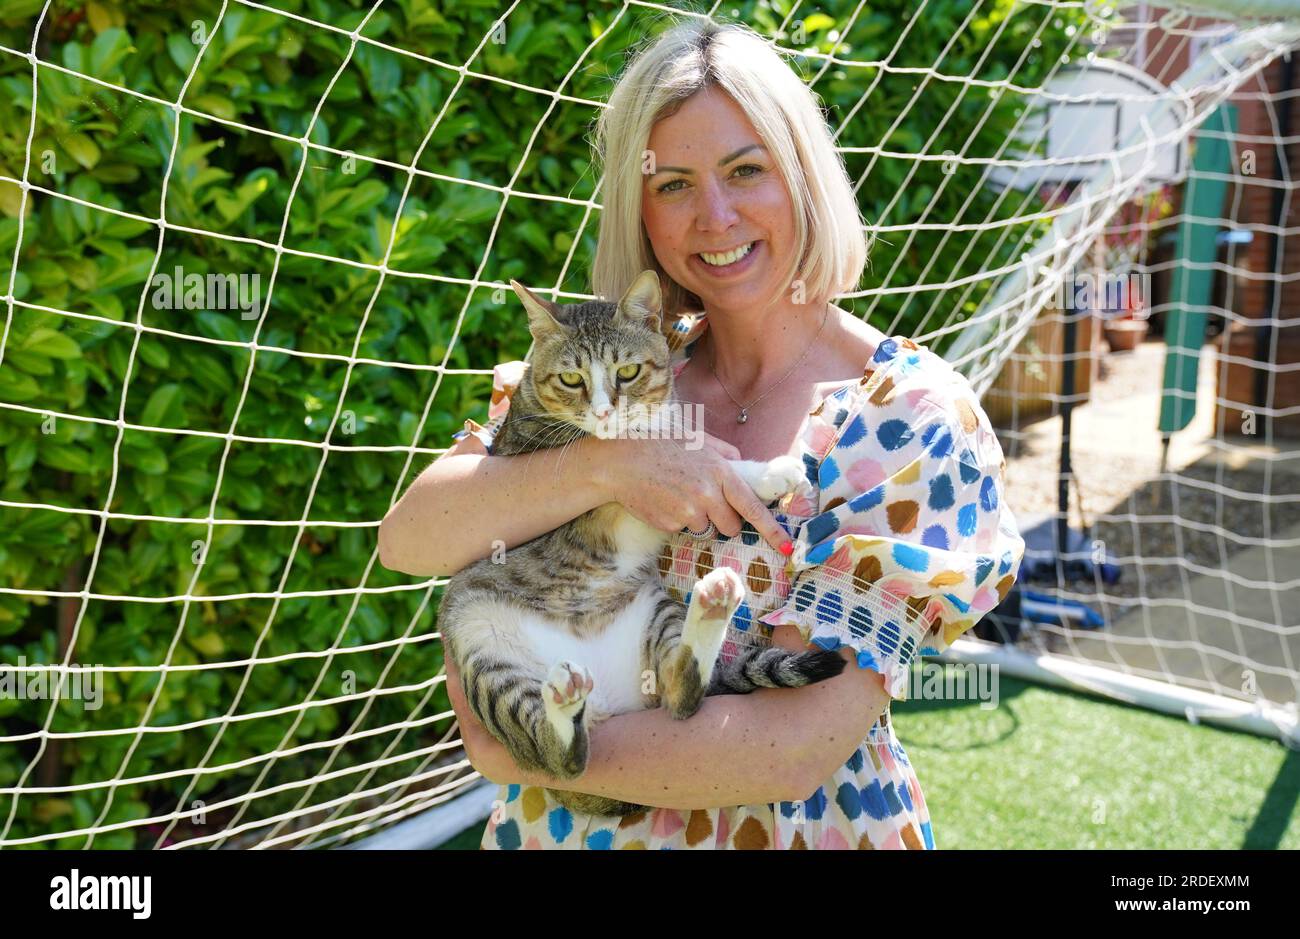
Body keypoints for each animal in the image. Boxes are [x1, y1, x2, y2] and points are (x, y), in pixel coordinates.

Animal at [441, 269, 847, 811]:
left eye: (628, 371)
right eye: (571, 379)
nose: (604, 412)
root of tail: (607, 704)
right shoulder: (597, 500)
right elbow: (679, 466)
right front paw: (762, 473)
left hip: (654, 608)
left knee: (681, 694)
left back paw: (713, 605)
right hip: (481, 642)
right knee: (558, 756)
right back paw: (563, 708)